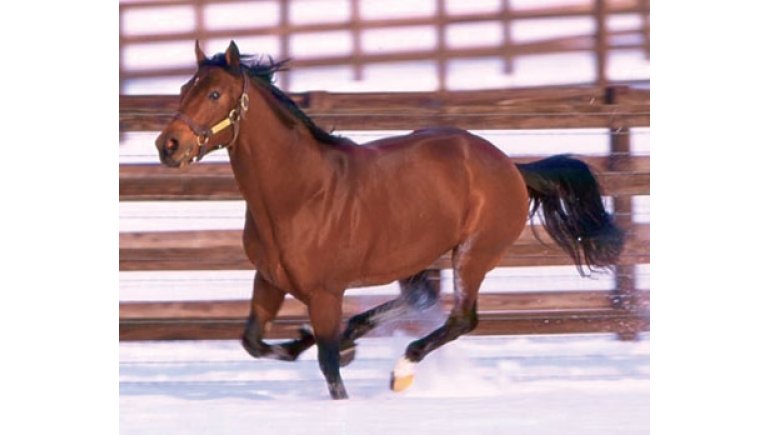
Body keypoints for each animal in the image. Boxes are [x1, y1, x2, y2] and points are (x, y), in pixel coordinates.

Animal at [155, 41, 624, 400]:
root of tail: (510, 165)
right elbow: (254, 342)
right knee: (421, 299)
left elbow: (329, 367)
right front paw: (316, 345)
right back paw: (356, 338)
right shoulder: (269, 279)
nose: (168, 146)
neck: (299, 194)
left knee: (461, 318)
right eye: (184, 87)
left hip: (474, 254)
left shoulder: (325, 293)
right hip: (418, 255)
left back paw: (401, 371)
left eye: (215, 94)